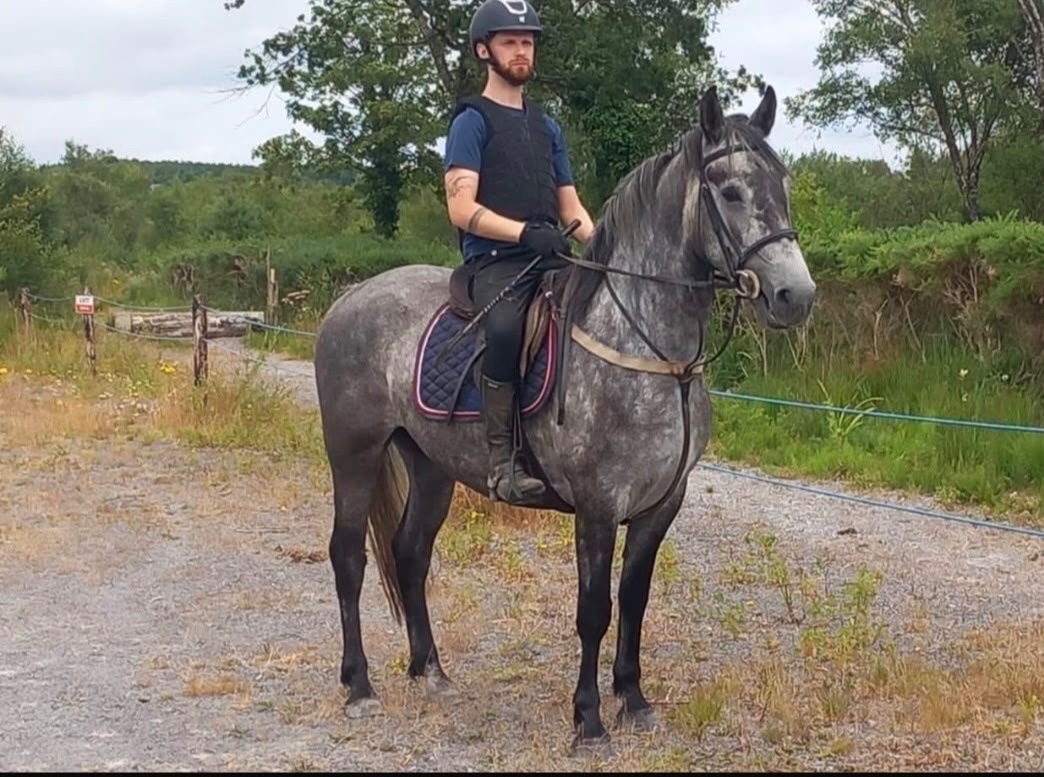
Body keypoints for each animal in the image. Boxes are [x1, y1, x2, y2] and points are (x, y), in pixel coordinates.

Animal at [312, 84, 816, 751]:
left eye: (782, 185)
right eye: (730, 190)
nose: (795, 297)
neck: (648, 349)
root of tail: (349, 299)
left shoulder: (661, 504)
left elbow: (634, 599)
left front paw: (634, 699)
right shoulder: (598, 506)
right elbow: (594, 611)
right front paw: (590, 719)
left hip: (431, 466)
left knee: (411, 552)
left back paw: (432, 672)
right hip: (355, 454)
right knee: (349, 557)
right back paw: (359, 686)